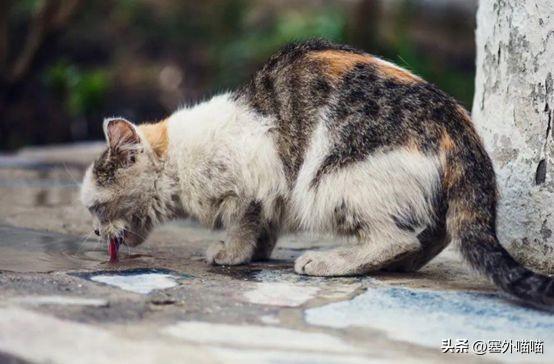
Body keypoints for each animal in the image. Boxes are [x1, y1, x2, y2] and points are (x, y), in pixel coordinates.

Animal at [82, 39, 552, 308]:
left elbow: (244, 220)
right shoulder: (271, 194)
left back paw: (332, 262)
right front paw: (255, 252)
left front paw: (231, 253)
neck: (179, 160)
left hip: (336, 180)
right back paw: (400, 264)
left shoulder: (256, 177)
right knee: (433, 234)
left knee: (395, 237)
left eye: (95, 209)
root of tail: (459, 124)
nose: (95, 233)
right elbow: (264, 226)